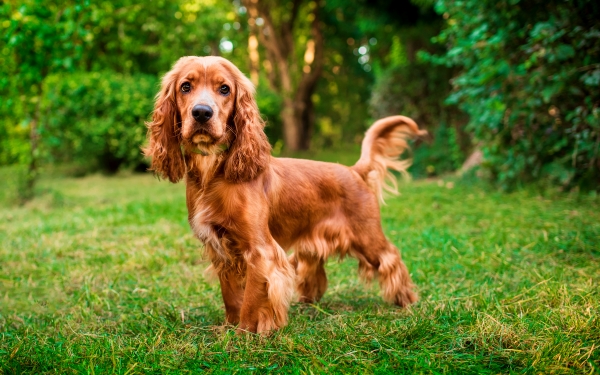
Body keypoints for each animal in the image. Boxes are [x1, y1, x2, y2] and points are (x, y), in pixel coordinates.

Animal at [145, 54, 424, 334]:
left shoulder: (261, 252)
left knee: (391, 258)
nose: (202, 112)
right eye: (185, 87)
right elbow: (231, 297)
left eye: (224, 89)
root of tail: (354, 170)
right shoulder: (221, 251)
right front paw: (228, 328)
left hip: (367, 237)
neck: (213, 171)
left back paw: (407, 301)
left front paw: (244, 334)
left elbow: (251, 301)